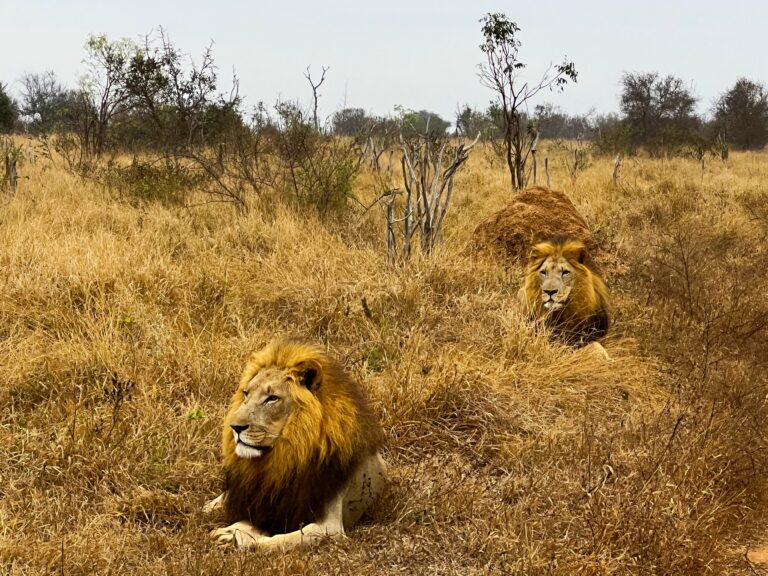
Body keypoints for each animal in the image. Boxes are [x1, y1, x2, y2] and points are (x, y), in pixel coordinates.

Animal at [204, 340, 388, 552]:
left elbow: (278, 541)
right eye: (246, 393)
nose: (235, 427)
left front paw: (237, 535)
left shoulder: (330, 526)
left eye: (272, 398)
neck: (286, 457)